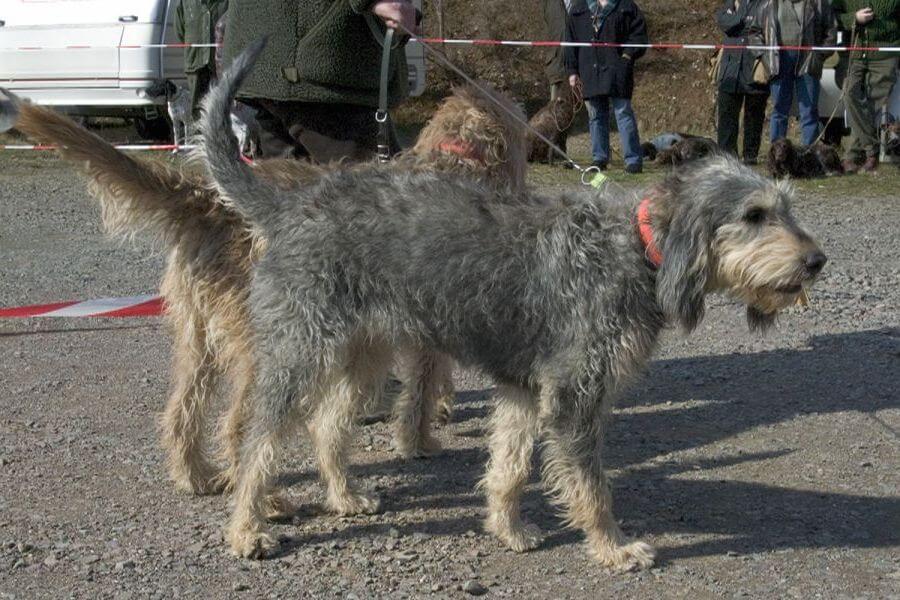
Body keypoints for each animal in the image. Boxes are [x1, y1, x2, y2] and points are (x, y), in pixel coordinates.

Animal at [1, 84, 528, 506]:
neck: (455, 158)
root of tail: (210, 200)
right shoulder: (430, 332)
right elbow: (422, 385)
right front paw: (419, 439)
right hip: (272, 344)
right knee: (240, 426)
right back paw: (264, 503)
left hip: (200, 335)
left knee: (182, 411)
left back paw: (196, 476)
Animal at [199, 42, 828, 568]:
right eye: (754, 215)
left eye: (787, 206)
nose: (817, 260)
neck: (635, 248)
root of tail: (290, 206)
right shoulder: (575, 397)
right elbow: (592, 487)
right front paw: (612, 547)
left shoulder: (526, 391)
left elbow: (510, 466)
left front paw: (507, 529)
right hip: (299, 356)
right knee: (256, 441)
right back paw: (247, 528)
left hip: (364, 355)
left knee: (328, 426)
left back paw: (344, 494)